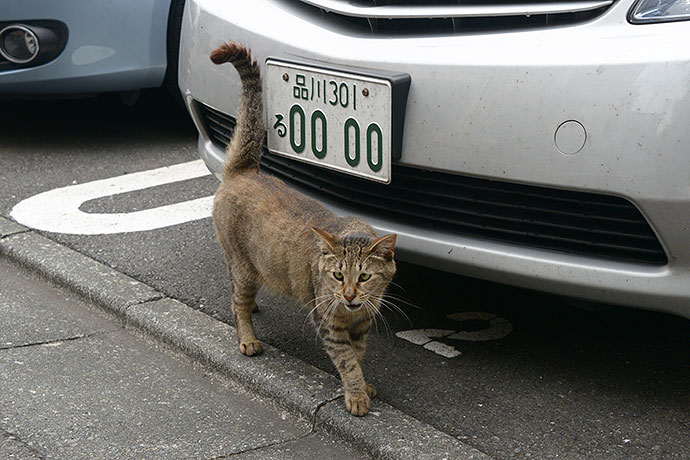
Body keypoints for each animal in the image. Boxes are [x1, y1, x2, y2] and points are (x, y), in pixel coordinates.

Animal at [207, 43, 396, 416]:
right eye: (337, 275)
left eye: (364, 276)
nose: (348, 295)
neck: (353, 313)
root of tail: (244, 171)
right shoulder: (330, 325)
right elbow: (347, 361)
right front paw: (356, 395)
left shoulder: (363, 325)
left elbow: (358, 355)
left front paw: (363, 385)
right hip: (242, 265)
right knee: (236, 302)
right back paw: (248, 338)